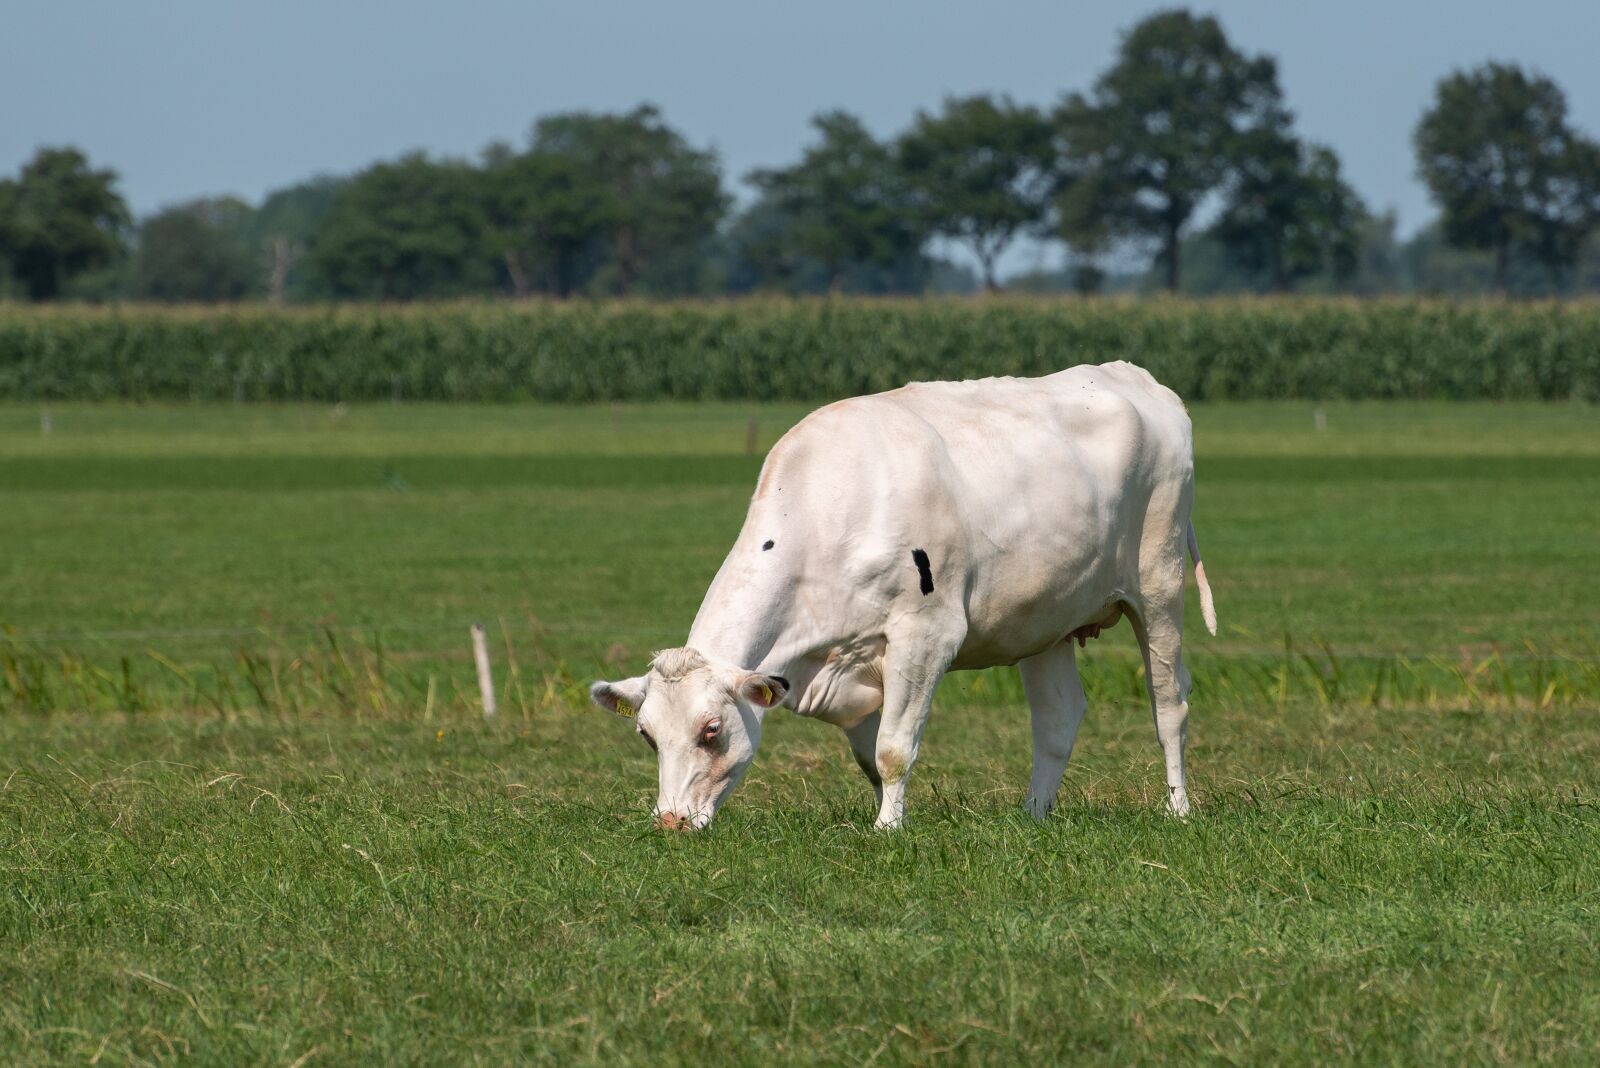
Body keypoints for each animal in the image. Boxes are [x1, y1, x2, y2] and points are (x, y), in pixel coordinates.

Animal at [590, 361, 1217, 831]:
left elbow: (893, 748)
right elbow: (870, 758)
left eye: (711, 731)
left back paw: (1178, 808)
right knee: (1058, 719)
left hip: (1159, 586)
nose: (670, 822)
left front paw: (888, 830)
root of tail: (1133, 377)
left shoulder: (926, 634)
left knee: (1169, 704)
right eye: (647, 735)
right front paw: (889, 814)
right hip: (1045, 619)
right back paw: (1034, 816)